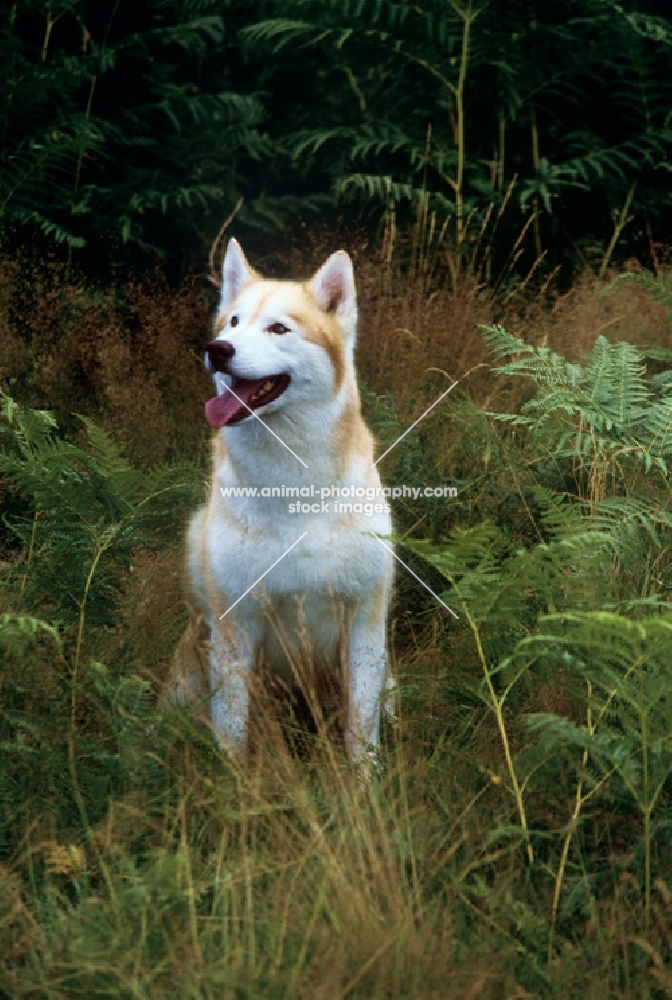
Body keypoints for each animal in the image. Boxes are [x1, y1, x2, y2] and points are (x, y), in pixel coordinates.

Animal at [167, 238, 394, 760]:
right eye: (232, 322)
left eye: (278, 328)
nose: (217, 350)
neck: (294, 488)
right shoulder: (235, 629)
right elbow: (232, 734)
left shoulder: (365, 626)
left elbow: (361, 736)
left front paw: (364, 784)